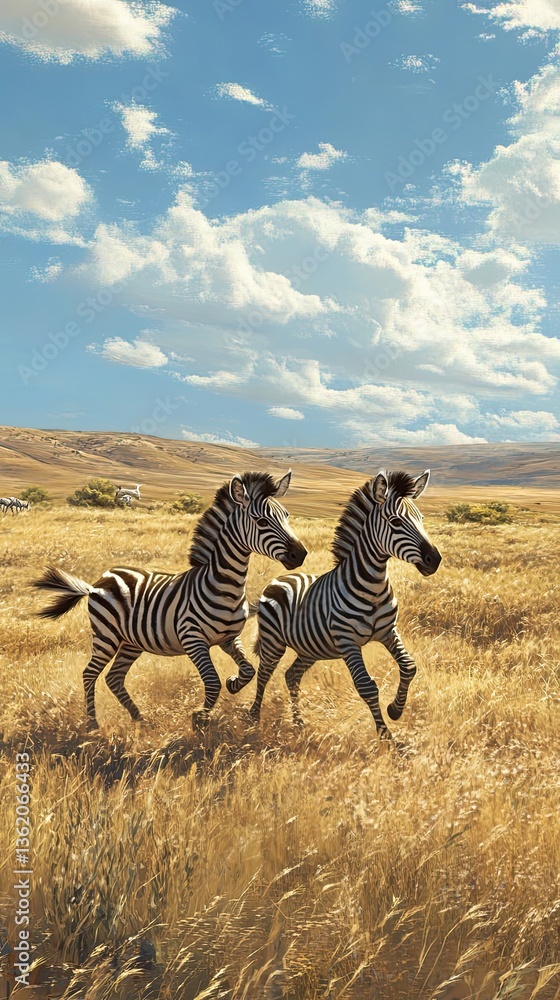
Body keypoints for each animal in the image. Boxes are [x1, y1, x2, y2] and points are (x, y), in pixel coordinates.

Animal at [33, 471, 307, 731]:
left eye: (287, 516)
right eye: (261, 521)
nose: (300, 554)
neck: (226, 585)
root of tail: (99, 580)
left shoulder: (229, 638)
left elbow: (248, 670)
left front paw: (233, 684)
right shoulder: (193, 639)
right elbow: (211, 681)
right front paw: (199, 719)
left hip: (131, 641)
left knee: (114, 678)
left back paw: (140, 720)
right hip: (106, 635)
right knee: (90, 674)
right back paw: (92, 724)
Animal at [228, 470, 441, 741]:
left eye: (421, 518)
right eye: (395, 522)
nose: (434, 560)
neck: (372, 588)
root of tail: (277, 580)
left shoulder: (388, 632)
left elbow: (409, 667)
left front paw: (395, 710)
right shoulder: (348, 642)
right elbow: (367, 686)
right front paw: (386, 737)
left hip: (310, 648)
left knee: (291, 676)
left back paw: (298, 723)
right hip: (274, 641)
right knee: (265, 674)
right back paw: (254, 717)